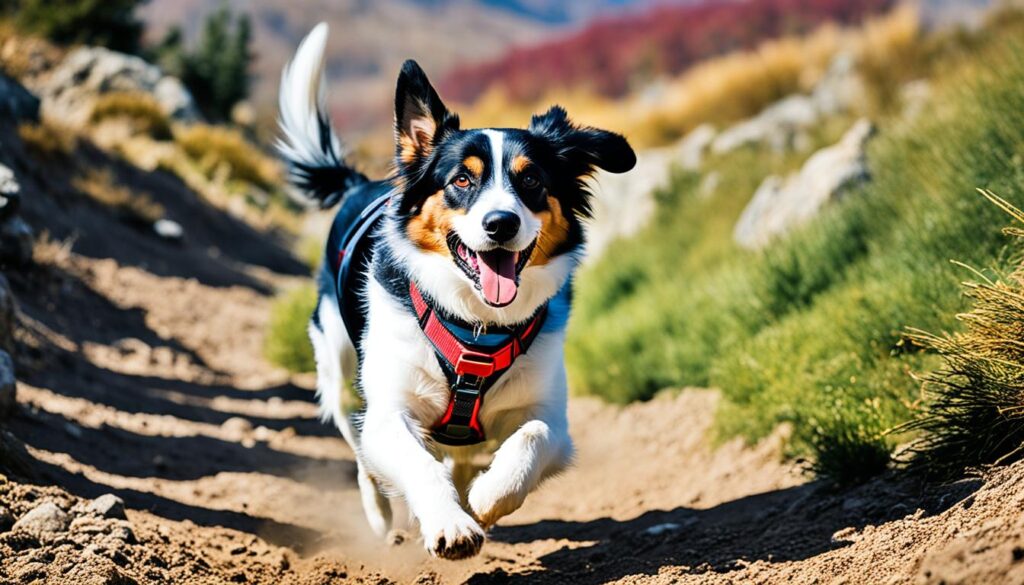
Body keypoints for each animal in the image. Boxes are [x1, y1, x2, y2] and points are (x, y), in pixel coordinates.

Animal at [276, 24, 634, 561]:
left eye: (531, 178)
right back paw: (383, 514)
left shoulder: (549, 412)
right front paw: (449, 524)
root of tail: (361, 185)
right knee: (361, 449)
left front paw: (488, 496)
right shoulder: (390, 410)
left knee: (460, 456)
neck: (477, 325)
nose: (501, 223)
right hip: (337, 365)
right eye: (462, 179)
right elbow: (413, 460)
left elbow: (530, 436)